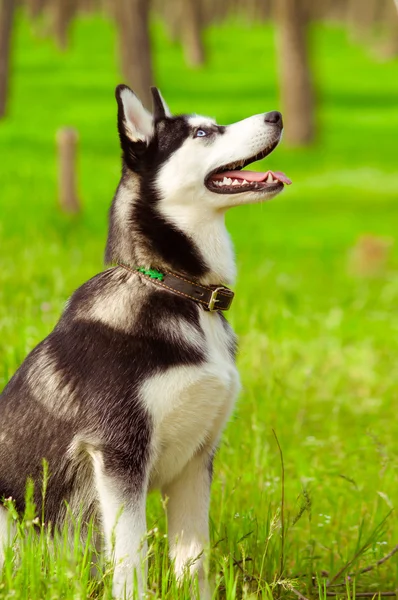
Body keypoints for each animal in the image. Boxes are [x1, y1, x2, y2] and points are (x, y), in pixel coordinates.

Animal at [0, 84, 290, 596]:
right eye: (202, 132)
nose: (277, 115)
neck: (180, 290)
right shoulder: (119, 456)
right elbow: (131, 559)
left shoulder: (197, 459)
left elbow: (194, 562)